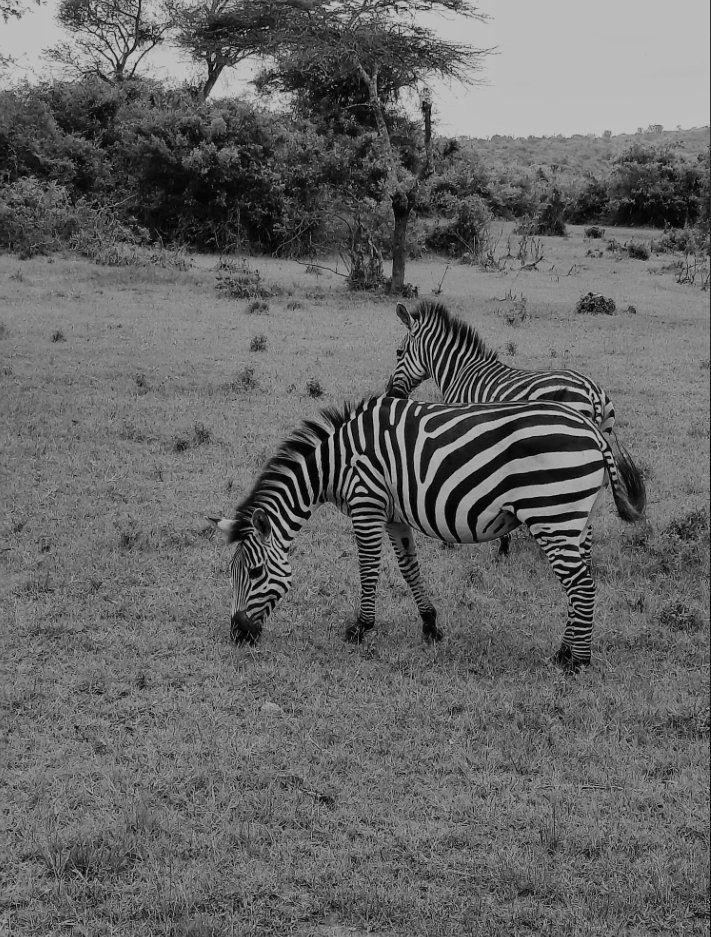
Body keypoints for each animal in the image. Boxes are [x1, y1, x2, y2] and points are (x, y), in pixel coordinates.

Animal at [208, 395, 645, 672]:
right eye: (231, 575)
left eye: (256, 574)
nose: (237, 635)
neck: (335, 464)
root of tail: (592, 428)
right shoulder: (394, 515)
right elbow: (409, 568)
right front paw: (431, 625)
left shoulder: (367, 502)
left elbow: (369, 569)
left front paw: (360, 628)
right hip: (575, 520)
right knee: (580, 583)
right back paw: (566, 649)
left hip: (552, 514)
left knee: (581, 586)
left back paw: (575, 662)